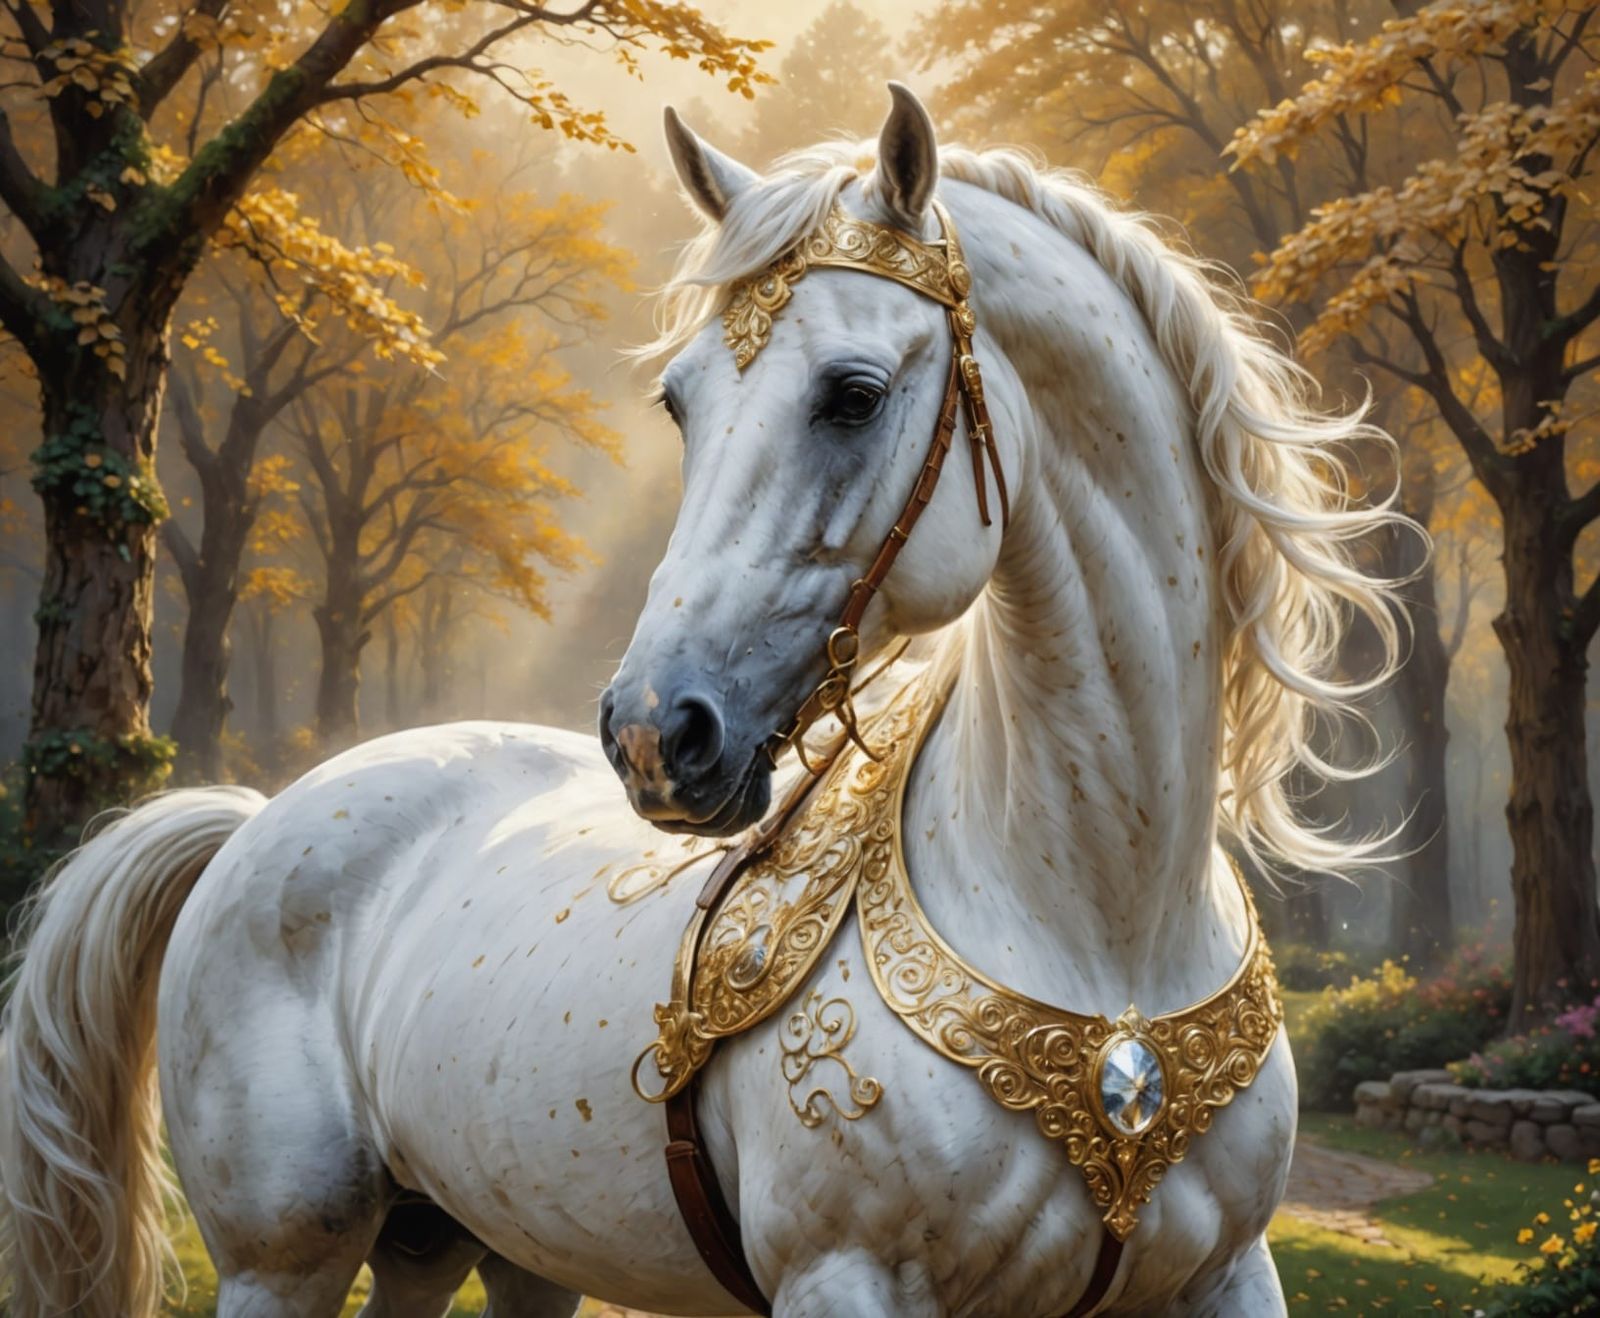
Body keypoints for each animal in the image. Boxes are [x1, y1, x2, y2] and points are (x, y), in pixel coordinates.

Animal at [0, 84, 1403, 1317]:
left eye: (853, 393)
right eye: (679, 401)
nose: (651, 732)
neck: (1101, 934)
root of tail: (256, 820)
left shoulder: (1227, 1275)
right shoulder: (846, 1280)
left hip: (469, 1244)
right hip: (280, 1260)